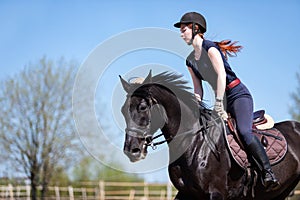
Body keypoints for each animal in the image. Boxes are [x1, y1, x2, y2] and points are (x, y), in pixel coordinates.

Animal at [119, 71, 300, 199]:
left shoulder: (216, 193)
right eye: (123, 110)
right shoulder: (186, 193)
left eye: (142, 107)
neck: (194, 142)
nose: (131, 150)